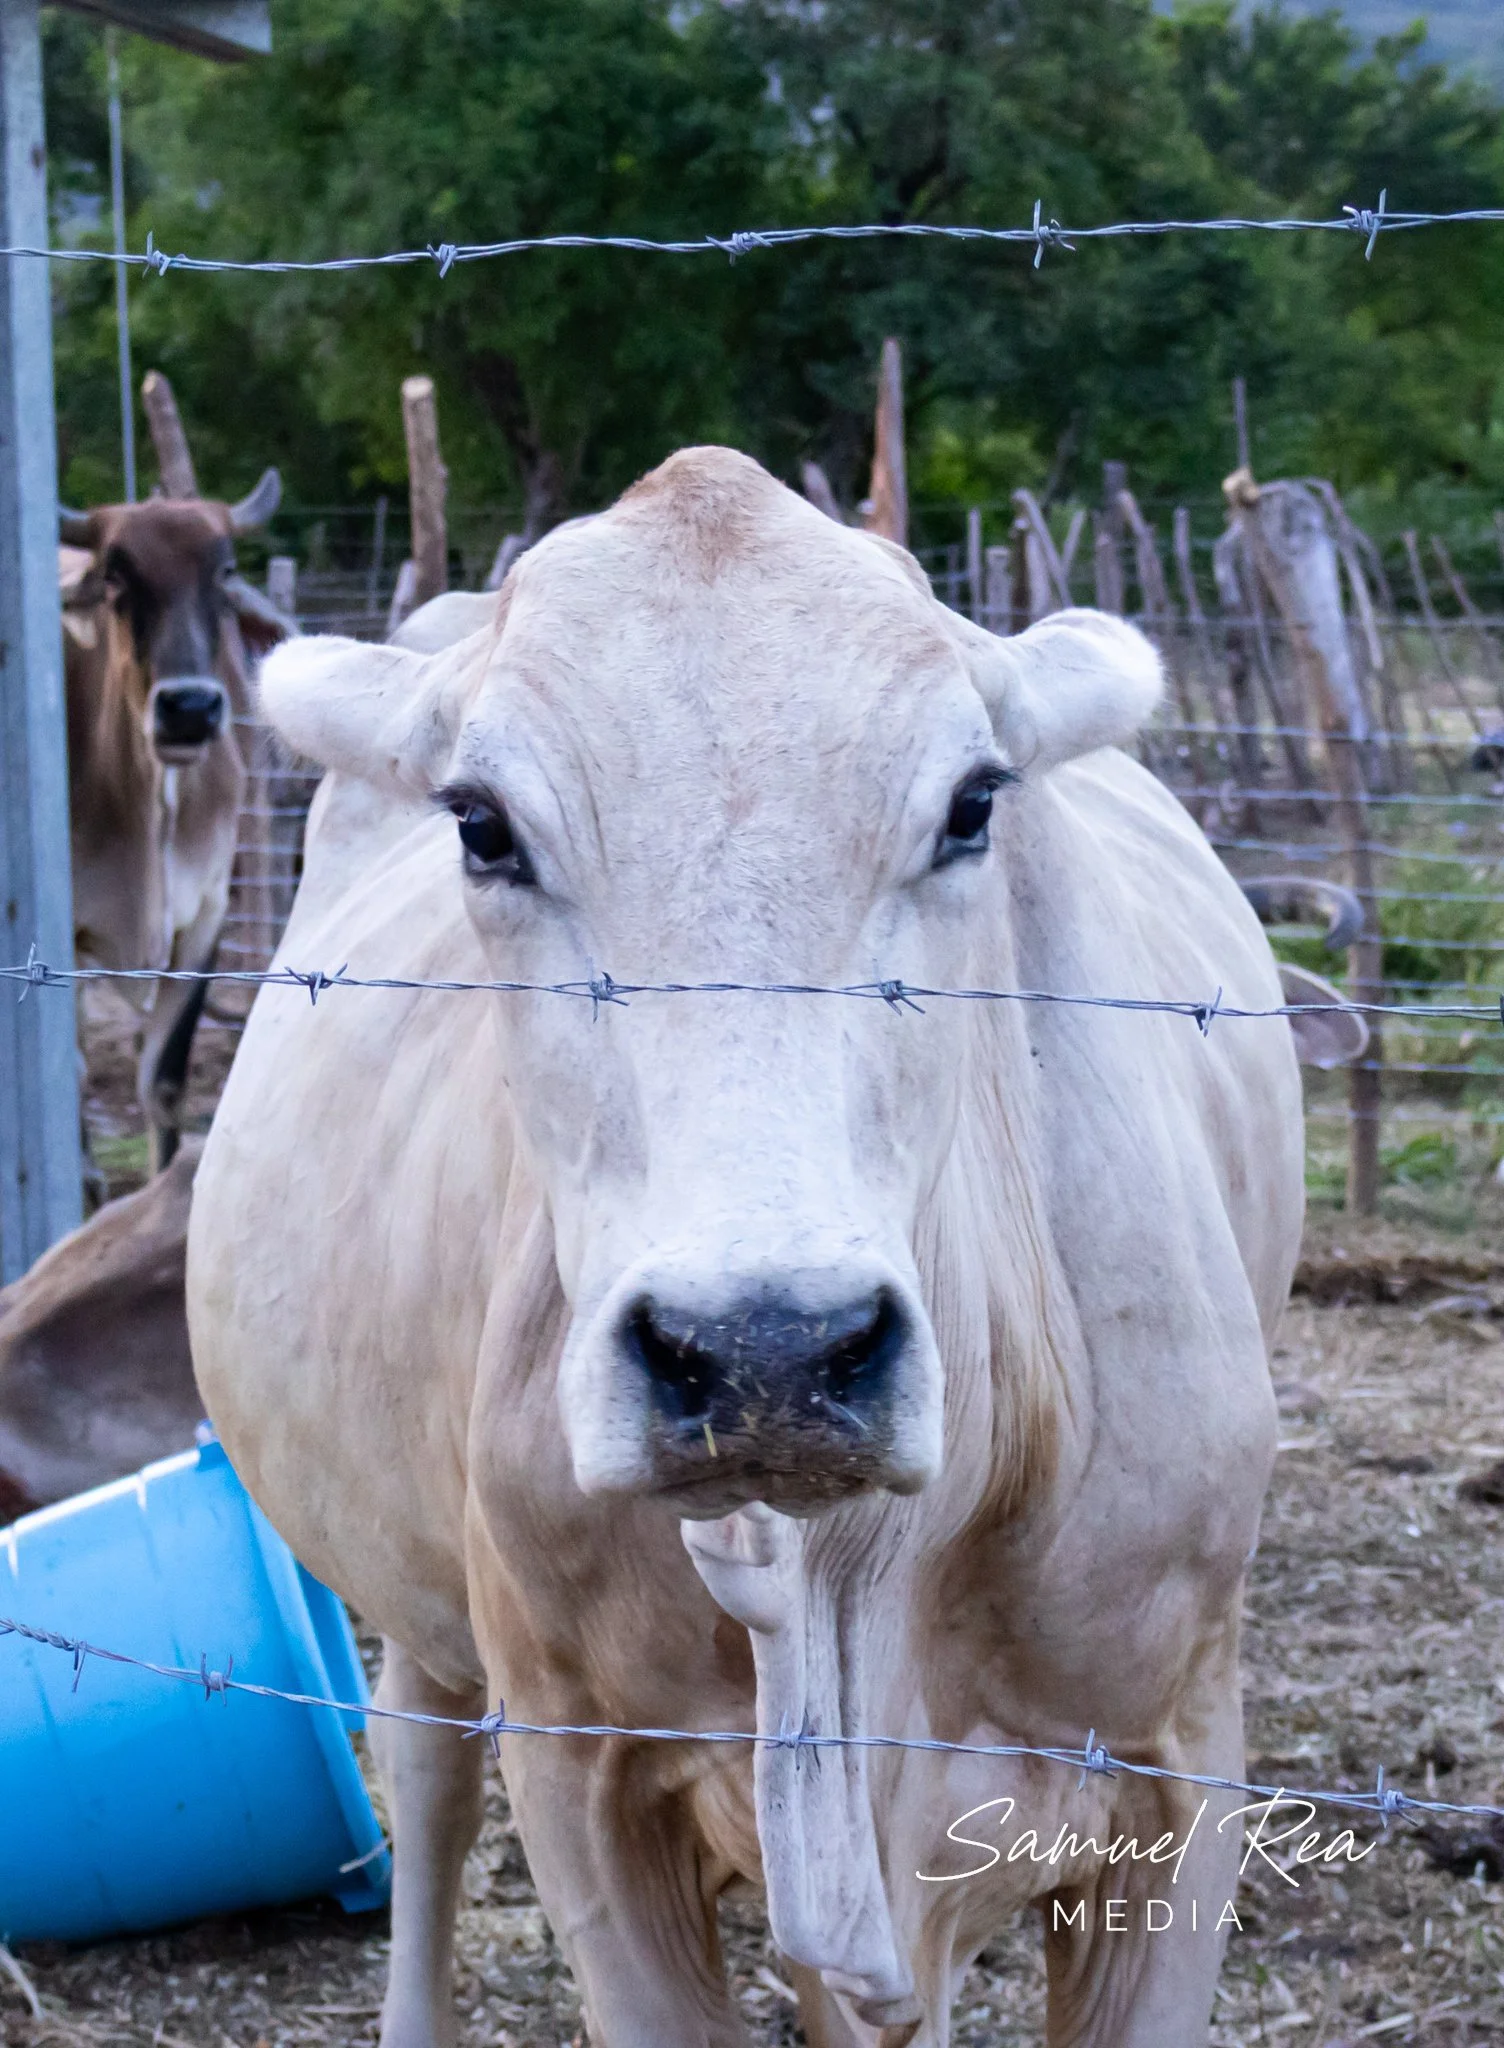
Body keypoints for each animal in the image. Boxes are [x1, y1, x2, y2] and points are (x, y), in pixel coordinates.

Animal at [189, 447, 1321, 2046]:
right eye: (481, 825)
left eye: (973, 803)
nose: (765, 1350)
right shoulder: (581, 1770)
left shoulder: (1179, 1764)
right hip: (429, 1608)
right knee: (425, 1771)